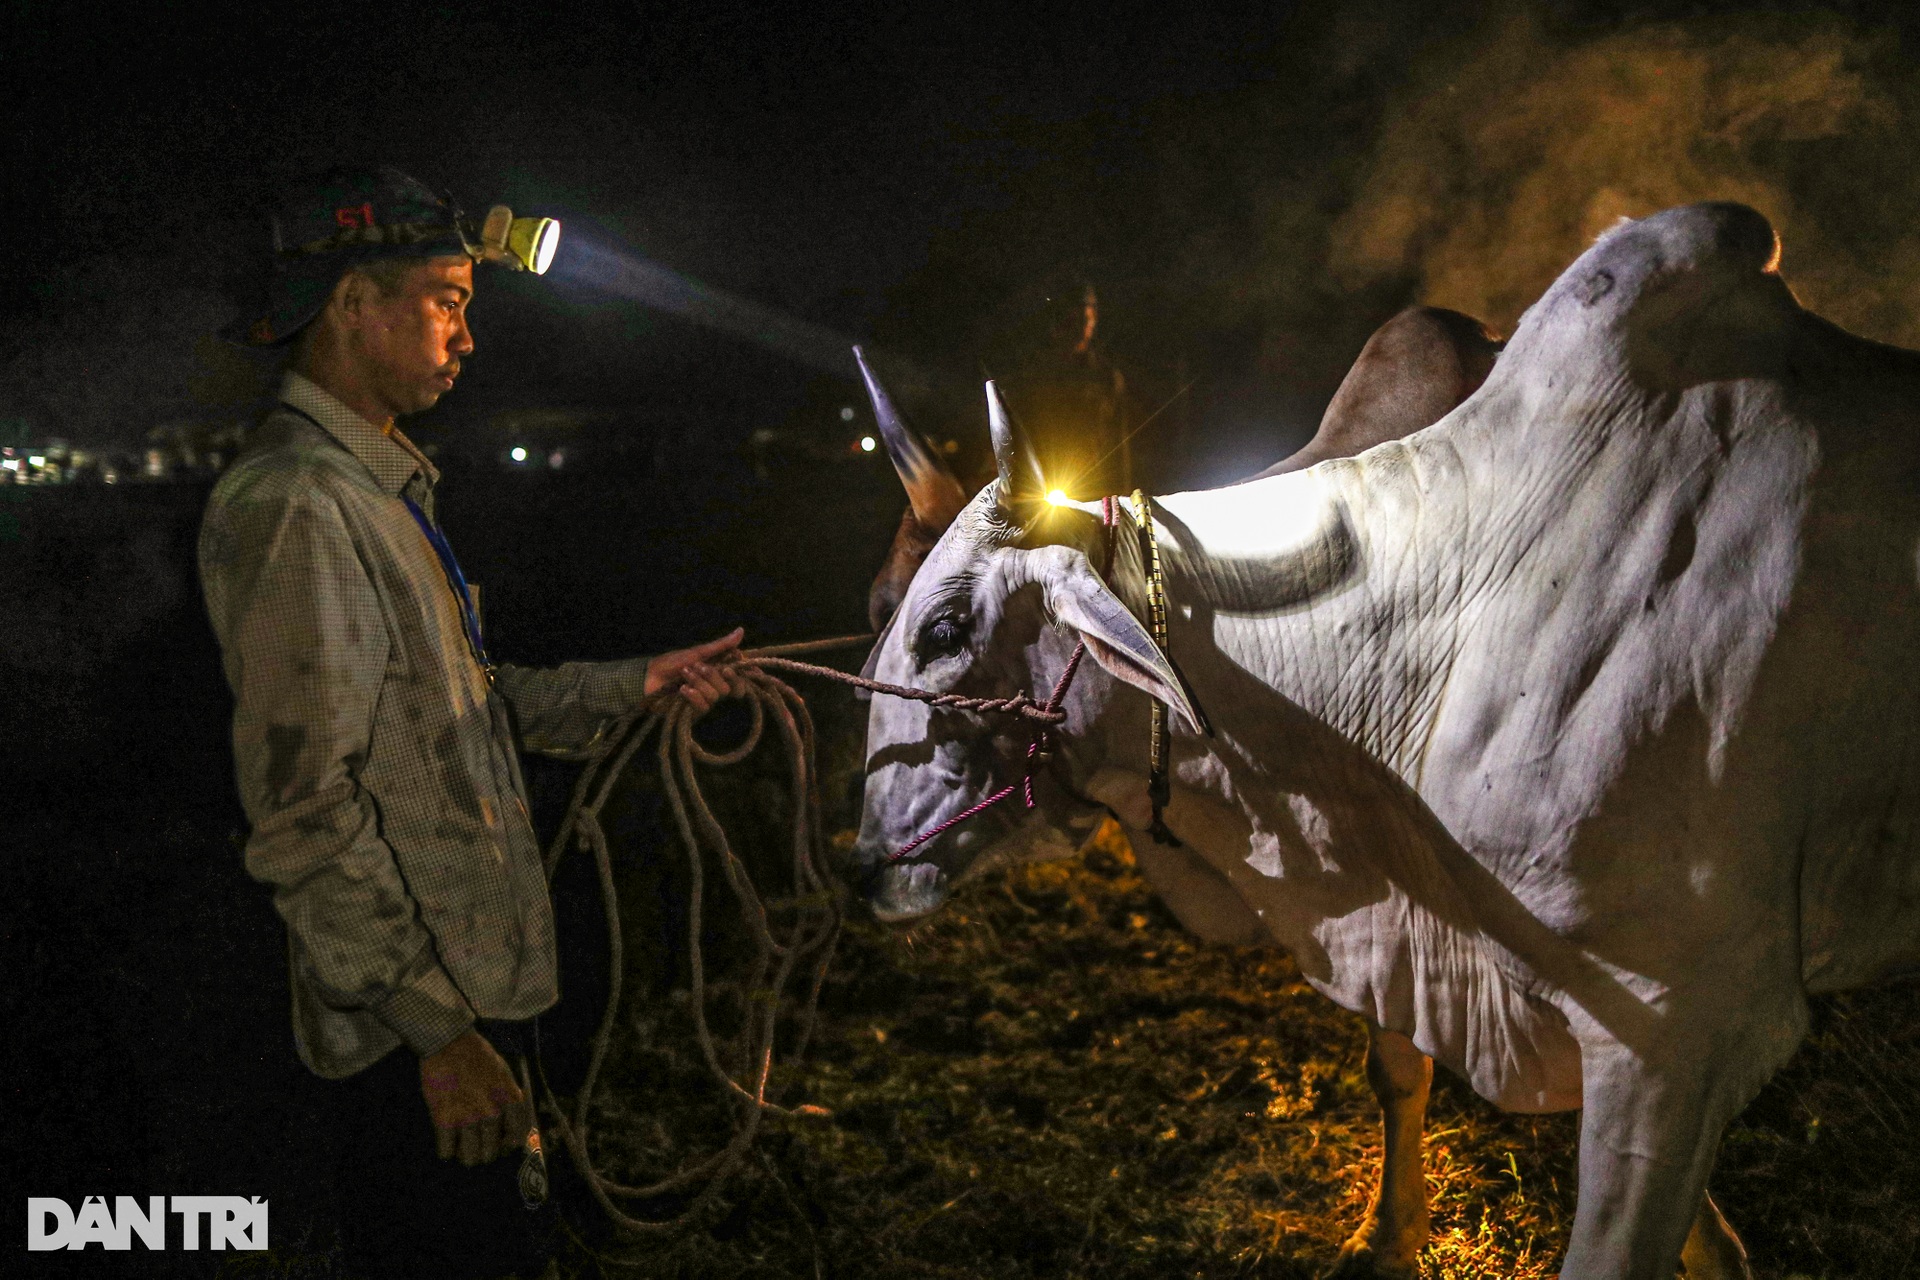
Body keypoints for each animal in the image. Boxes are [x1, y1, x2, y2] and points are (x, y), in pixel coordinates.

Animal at [852, 205, 1920, 1280]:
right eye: (877, 608)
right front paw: (1392, 1233)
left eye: (944, 628)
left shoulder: (1683, 1029)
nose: (862, 868)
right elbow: (1396, 1066)